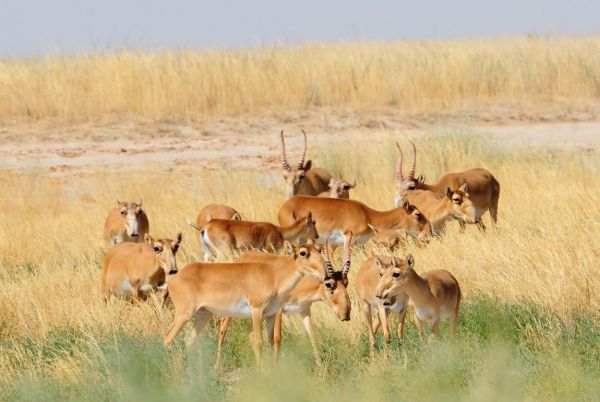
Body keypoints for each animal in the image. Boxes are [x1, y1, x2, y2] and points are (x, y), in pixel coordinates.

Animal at [163, 240, 328, 366]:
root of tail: (173, 280)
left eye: (319, 249)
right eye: (303, 252)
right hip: (184, 315)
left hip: (203, 315)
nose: (325, 276)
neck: (274, 275)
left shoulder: (271, 314)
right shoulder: (257, 310)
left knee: (188, 340)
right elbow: (259, 341)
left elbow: (271, 341)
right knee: (167, 338)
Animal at [188, 212, 318, 260]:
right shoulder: (270, 250)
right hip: (223, 251)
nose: (317, 235)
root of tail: (205, 227)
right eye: (313, 222)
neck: (280, 231)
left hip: (208, 252)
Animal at [217, 236, 352, 368]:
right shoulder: (279, 310)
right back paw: (217, 366)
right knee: (223, 328)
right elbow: (277, 338)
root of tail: (242, 257)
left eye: (346, 283)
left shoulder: (304, 310)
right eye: (328, 284)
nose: (346, 314)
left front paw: (321, 368)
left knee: (251, 335)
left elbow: (312, 335)